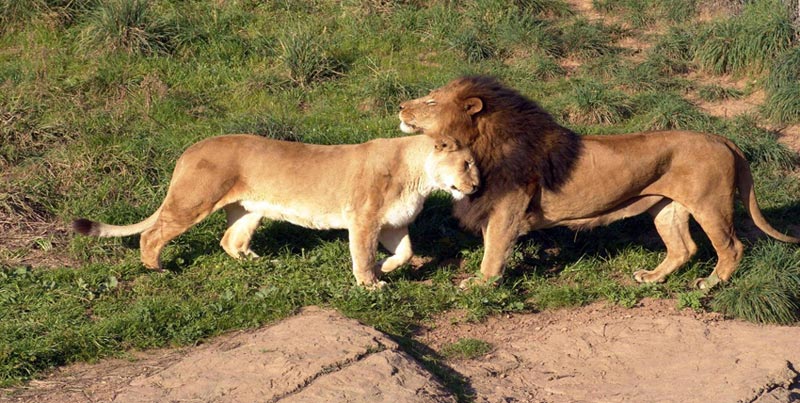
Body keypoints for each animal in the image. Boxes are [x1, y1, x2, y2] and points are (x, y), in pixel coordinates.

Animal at [72, 134, 479, 288]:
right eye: (467, 164)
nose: (477, 187)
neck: (420, 177)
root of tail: (190, 149)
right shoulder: (363, 219)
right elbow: (362, 255)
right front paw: (371, 283)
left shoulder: (393, 223)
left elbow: (405, 252)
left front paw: (385, 268)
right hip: (193, 201)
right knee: (152, 233)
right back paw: (156, 268)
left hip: (249, 209)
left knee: (229, 240)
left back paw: (261, 263)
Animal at [399, 75, 799, 289]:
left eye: (431, 101)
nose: (401, 106)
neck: (477, 145)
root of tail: (722, 139)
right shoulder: (492, 207)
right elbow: (489, 248)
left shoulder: (506, 211)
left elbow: (493, 253)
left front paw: (480, 285)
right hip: (666, 207)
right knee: (683, 248)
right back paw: (652, 277)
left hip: (710, 205)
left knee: (731, 247)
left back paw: (710, 284)